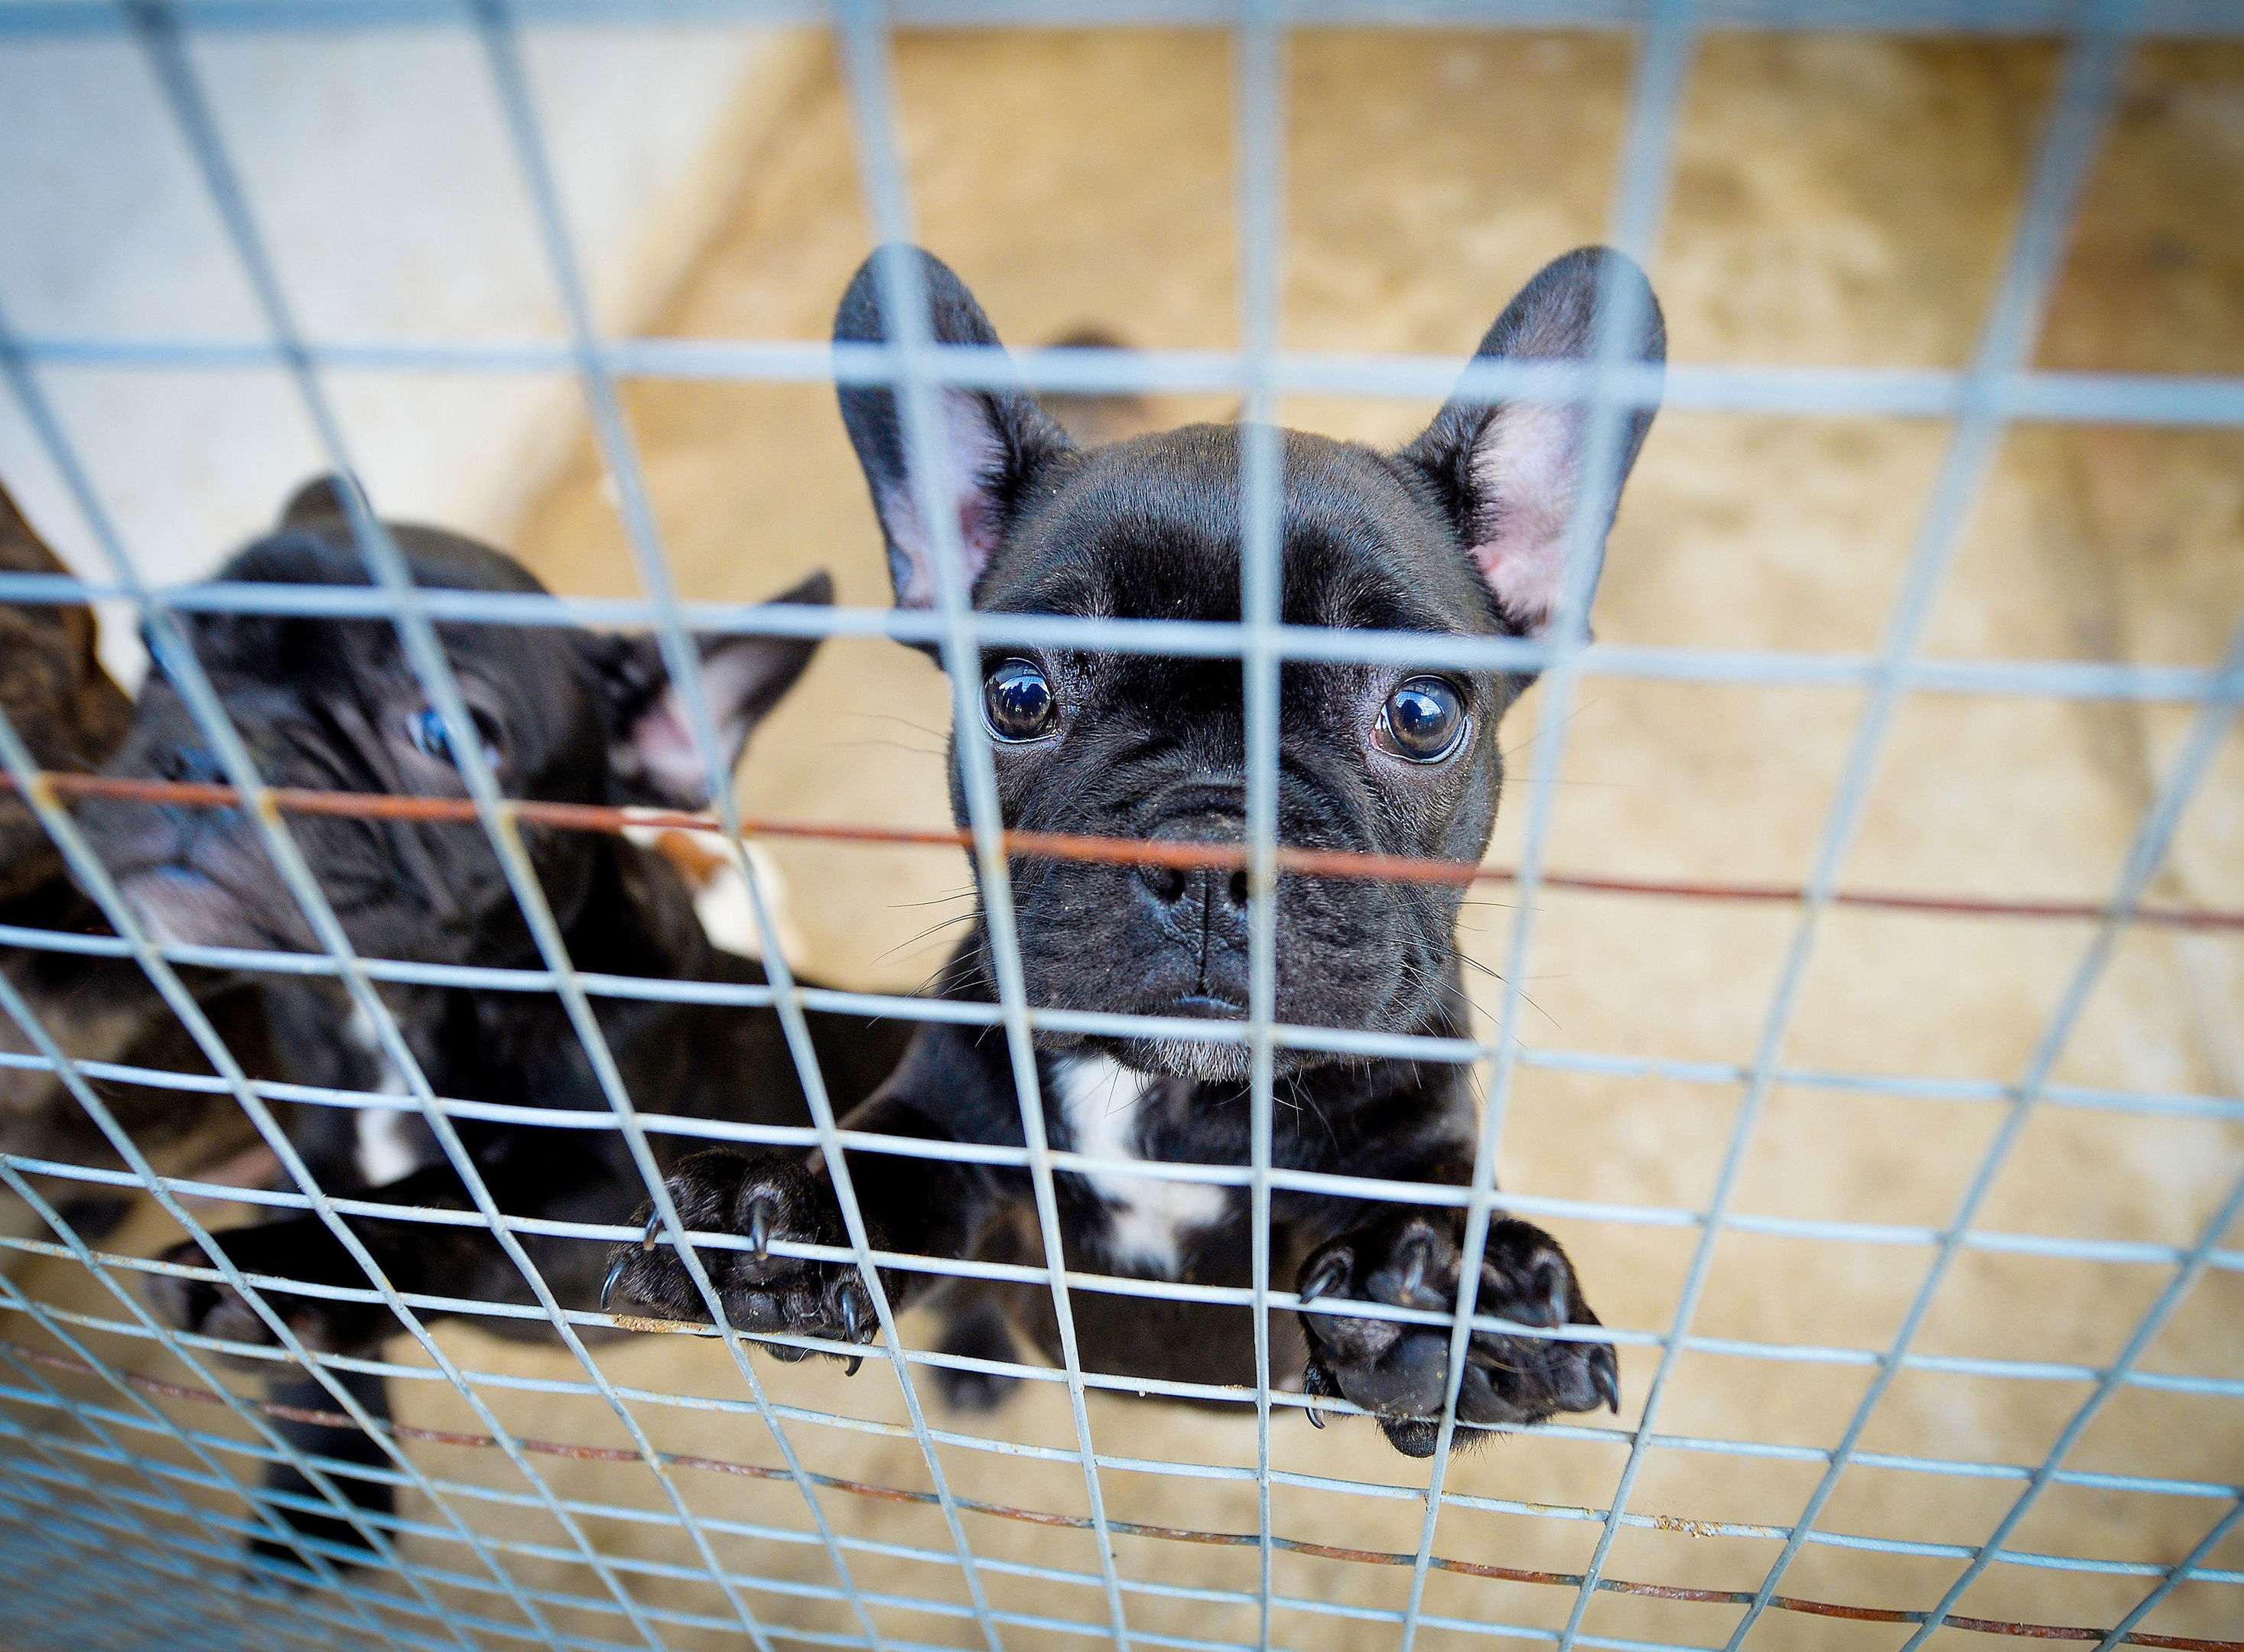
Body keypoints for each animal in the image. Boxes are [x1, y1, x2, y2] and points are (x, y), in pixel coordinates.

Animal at [76, 478, 911, 1562]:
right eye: (163, 653)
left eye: (450, 734)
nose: (205, 750)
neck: (405, 1011)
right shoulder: (310, 1149)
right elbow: (329, 1352)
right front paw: (321, 1496)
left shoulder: (590, 1203)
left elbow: (436, 1206)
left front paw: (277, 1271)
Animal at [614, 244, 1669, 1454]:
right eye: (1018, 694)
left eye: (1420, 714)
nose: (1210, 855)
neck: (1170, 1102)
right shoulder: (956, 1123)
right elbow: (891, 1164)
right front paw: (782, 1214)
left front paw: (1460, 1296)